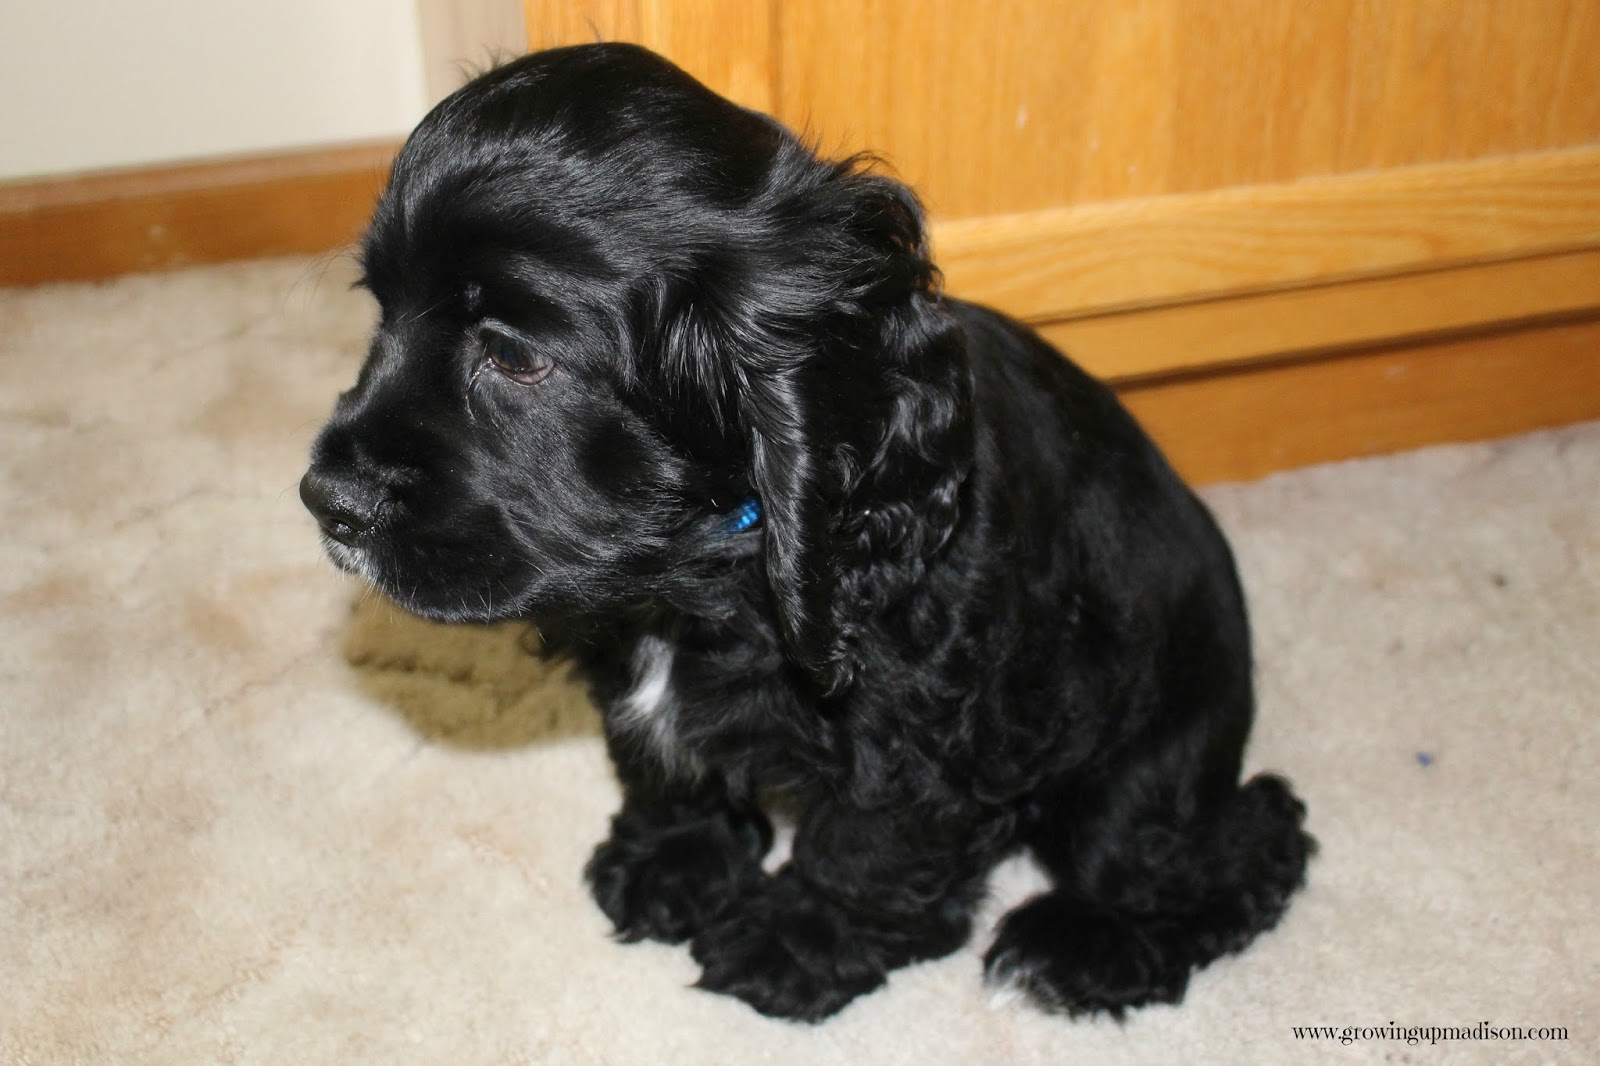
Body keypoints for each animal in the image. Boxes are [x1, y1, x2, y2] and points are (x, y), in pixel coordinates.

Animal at [300, 42, 1313, 1022]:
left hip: (1146, 756)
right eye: (381, 312)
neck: (705, 564)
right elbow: (662, 755)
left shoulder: (916, 717)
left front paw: (796, 941)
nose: (327, 500)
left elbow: (867, 840)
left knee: (1226, 849)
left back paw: (1070, 951)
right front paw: (674, 862)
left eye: (513, 354)